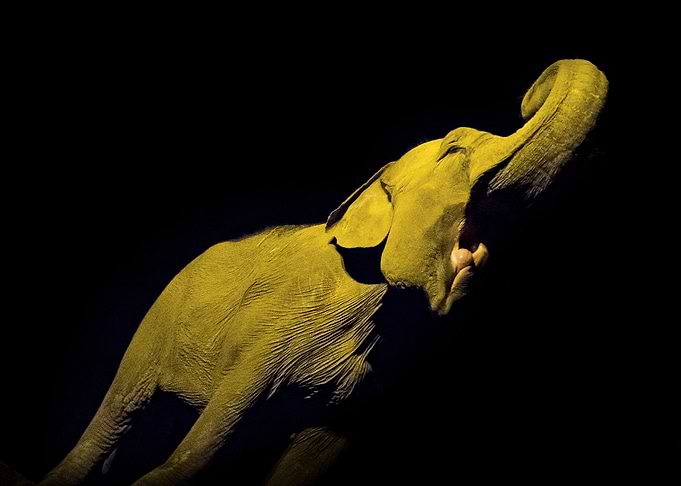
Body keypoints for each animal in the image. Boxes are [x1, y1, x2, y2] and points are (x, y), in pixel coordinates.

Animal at [36, 59, 607, 486]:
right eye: (454, 149)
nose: (526, 97)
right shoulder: (273, 329)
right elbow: (207, 439)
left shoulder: (364, 385)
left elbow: (312, 457)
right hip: (154, 325)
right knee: (117, 415)